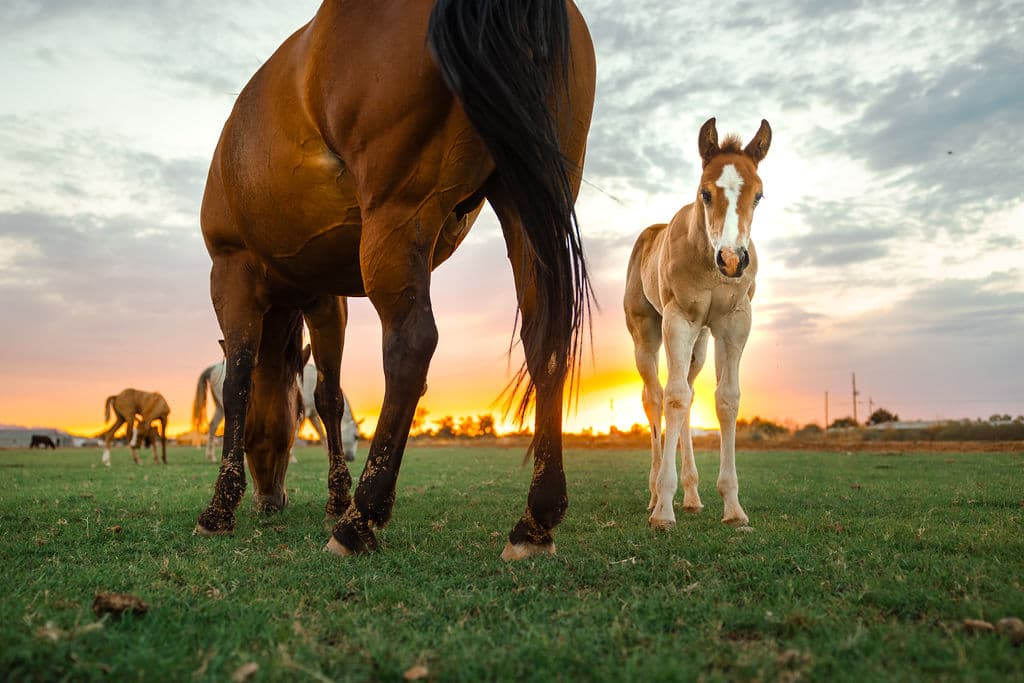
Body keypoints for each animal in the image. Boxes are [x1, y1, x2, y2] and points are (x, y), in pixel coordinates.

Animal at [192, 358, 359, 463]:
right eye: (356, 436)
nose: (351, 458)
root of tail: (215, 367)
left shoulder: (312, 414)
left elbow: (322, 434)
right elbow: (296, 434)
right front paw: (291, 458)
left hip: (221, 407)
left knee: (212, 427)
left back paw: (211, 457)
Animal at [623, 118, 771, 531]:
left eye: (759, 196)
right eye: (705, 193)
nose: (733, 260)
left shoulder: (734, 324)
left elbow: (726, 399)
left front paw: (733, 507)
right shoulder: (679, 320)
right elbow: (673, 397)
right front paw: (663, 510)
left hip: (700, 345)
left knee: (688, 396)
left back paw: (691, 496)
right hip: (646, 335)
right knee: (655, 398)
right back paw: (656, 493)